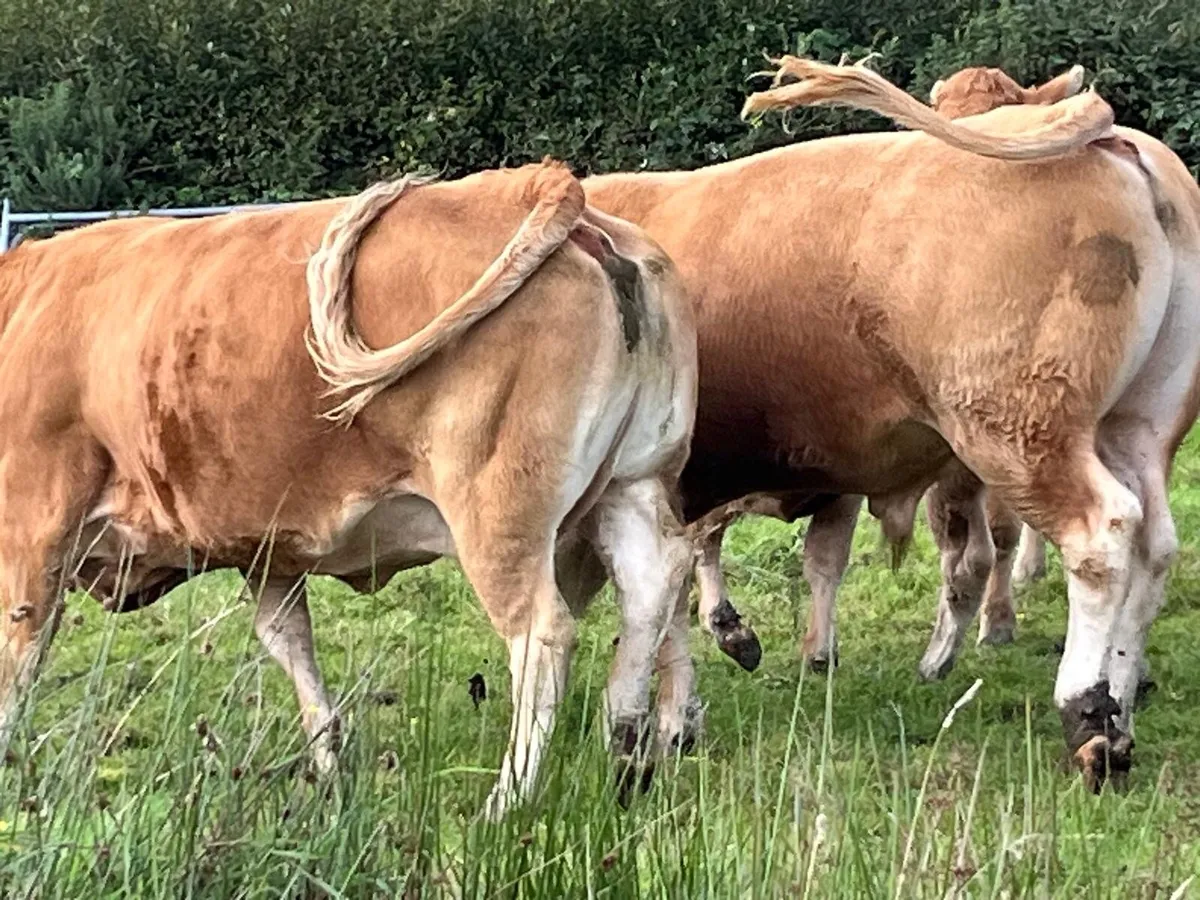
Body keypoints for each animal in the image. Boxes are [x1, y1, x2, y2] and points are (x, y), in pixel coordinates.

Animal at [0, 160, 700, 818]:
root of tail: (539, 184)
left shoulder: (33, 527)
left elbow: (18, 658)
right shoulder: (269, 548)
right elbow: (290, 645)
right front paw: (329, 768)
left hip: (498, 510)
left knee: (544, 634)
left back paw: (508, 801)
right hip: (634, 480)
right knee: (653, 585)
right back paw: (626, 751)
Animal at [584, 57, 1200, 787]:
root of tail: (1114, 142)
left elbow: (666, 599)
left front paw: (677, 718)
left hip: (1020, 433)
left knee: (1100, 535)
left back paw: (1087, 715)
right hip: (1137, 427)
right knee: (1153, 544)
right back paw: (1122, 708)